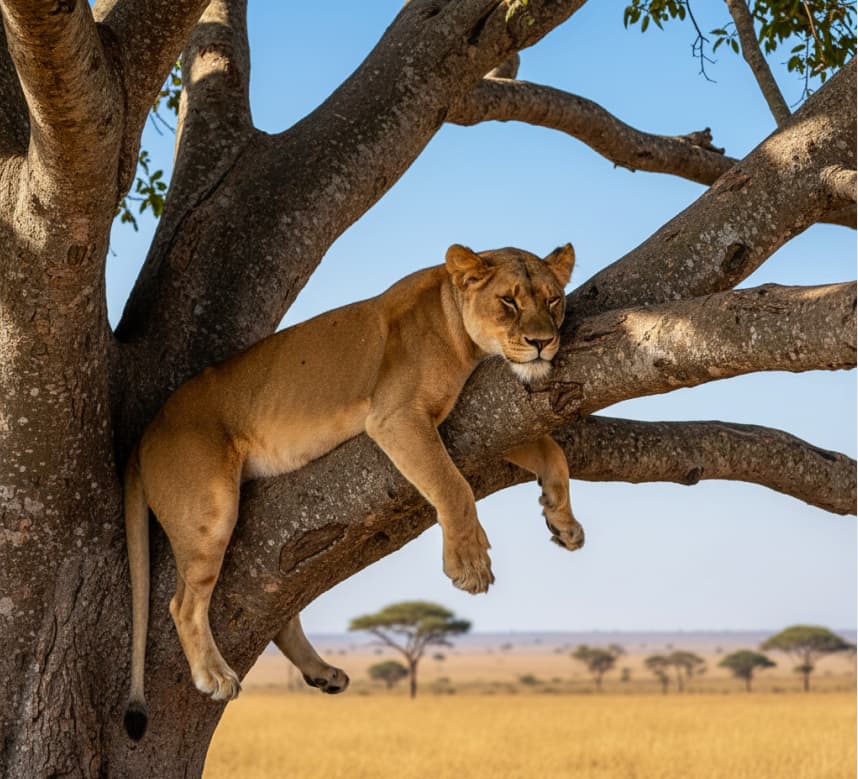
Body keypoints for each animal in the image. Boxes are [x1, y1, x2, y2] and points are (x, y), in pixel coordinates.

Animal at [123, 243, 583, 739]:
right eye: (509, 301)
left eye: (553, 301)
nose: (542, 343)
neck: (464, 337)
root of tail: (145, 435)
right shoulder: (397, 417)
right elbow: (453, 485)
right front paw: (470, 565)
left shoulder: (484, 419)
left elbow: (552, 451)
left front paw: (563, 522)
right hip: (211, 510)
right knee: (183, 603)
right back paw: (214, 675)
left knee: (282, 606)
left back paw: (322, 673)